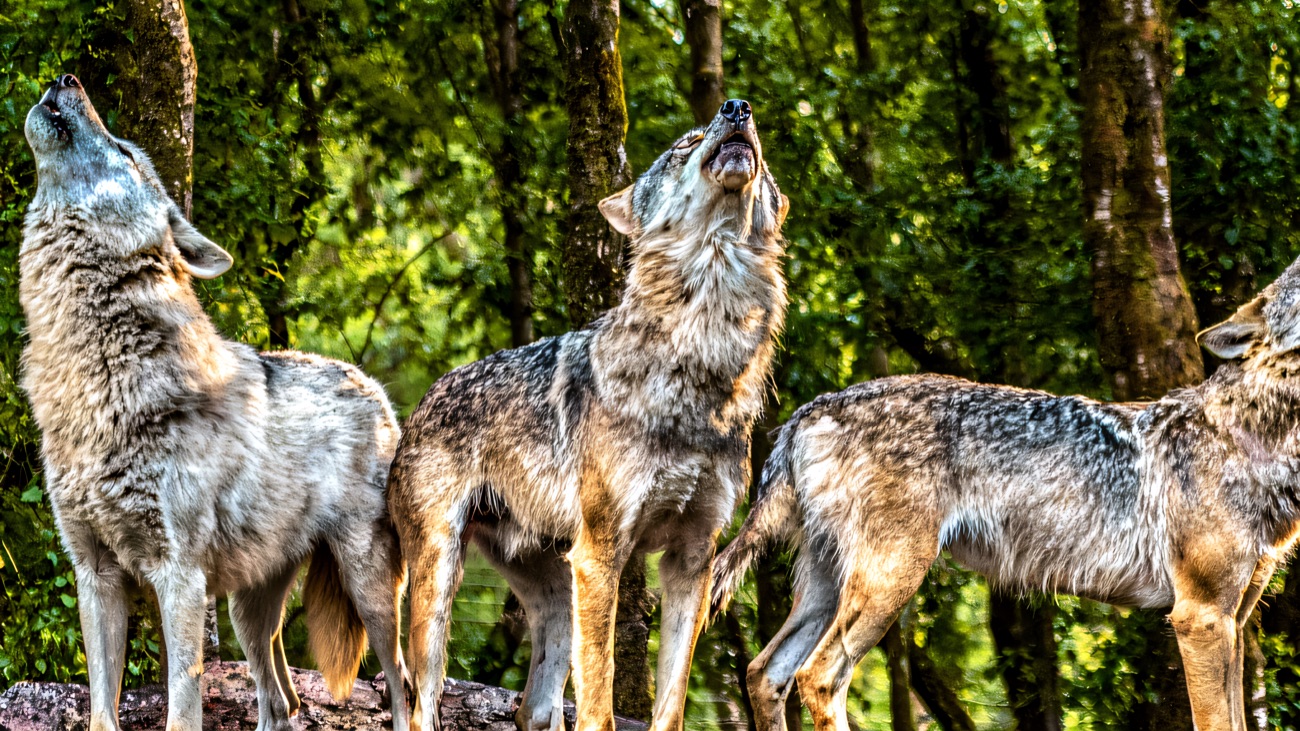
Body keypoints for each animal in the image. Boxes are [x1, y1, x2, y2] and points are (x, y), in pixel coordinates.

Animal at [20, 74, 409, 731]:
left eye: (124, 152)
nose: (65, 78)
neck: (98, 384)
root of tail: (373, 385)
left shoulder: (179, 577)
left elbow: (182, 707)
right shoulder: (95, 576)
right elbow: (101, 708)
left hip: (368, 587)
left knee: (404, 684)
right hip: (248, 612)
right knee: (281, 701)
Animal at [387, 99, 788, 731]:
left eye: (762, 151)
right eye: (686, 143)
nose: (736, 107)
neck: (699, 360)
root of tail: (422, 404)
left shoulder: (693, 558)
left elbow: (670, 704)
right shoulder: (602, 556)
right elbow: (600, 704)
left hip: (554, 594)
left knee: (534, 709)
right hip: (440, 589)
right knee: (421, 703)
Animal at [711, 256, 1300, 731]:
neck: (1254, 436)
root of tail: (810, 409)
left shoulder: (1234, 620)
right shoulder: (1200, 616)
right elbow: (1219, 723)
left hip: (831, 587)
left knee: (764, 671)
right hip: (890, 582)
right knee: (819, 675)